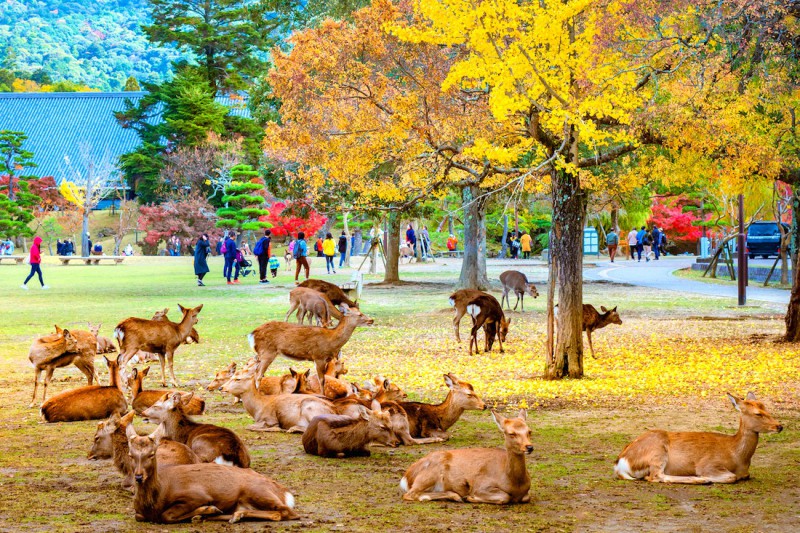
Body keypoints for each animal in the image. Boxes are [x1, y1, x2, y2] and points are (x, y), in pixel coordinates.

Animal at [125, 422, 300, 520]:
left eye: (152, 453)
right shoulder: (139, 513)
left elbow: (167, 515)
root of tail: (285, 493)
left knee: (288, 512)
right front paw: (207, 512)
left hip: (257, 490)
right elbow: (139, 516)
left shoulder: (196, 495)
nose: (138, 477)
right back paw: (235, 516)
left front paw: (208, 510)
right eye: (130, 454)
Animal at [400, 408, 532, 502]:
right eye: (511, 433)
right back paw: (458, 496)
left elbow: (526, 497)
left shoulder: (526, 494)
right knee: (410, 494)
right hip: (429, 474)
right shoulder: (481, 485)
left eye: (529, 431)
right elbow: (504, 497)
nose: (529, 447)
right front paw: (471, 497)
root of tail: (406, 477)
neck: (514, 484)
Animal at [616, 388, 784, 484]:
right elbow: (731, 477)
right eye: (757, 413)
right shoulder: (708, 464)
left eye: (766, 407)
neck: (736, 456)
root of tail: (620, 464)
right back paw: (702, 479)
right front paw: (707, 477)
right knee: (656, 476)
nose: (780, 426)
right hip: (657, 451)